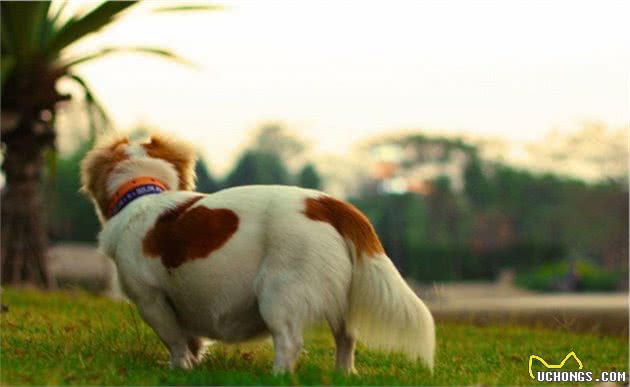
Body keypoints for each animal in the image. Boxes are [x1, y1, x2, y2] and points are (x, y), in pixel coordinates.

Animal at [81, 132, 436, 374]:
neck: (143, 194)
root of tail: (325, 203)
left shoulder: (151, 300)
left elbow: (175, 340)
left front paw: (179, 369)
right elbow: (191, 339)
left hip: (278, 293)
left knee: (290, 341)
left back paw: (277, 375)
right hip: (340, 298)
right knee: (347, 337)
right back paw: (343, 374)